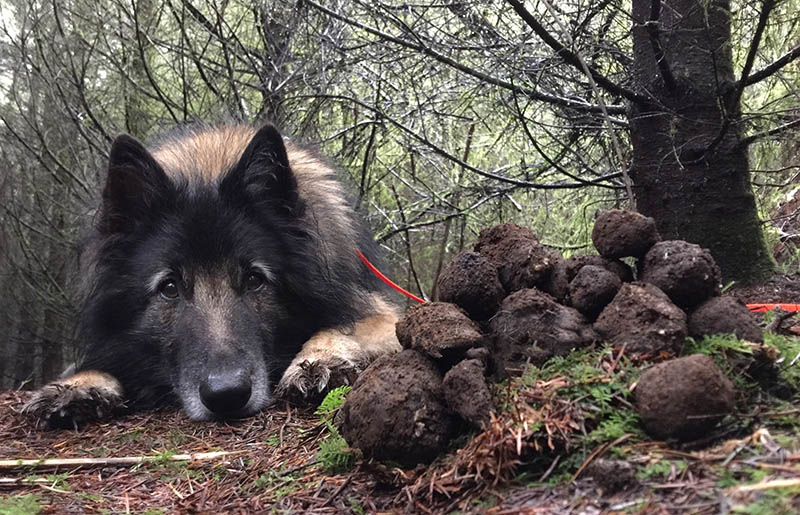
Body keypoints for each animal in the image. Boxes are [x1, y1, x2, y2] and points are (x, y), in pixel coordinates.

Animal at [24, 124, 400, 428]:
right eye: (170, 287)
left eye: (254, 280)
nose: (227, 395)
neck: (206, 170)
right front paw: (78, 384)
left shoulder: (377, 310)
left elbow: (340, 327)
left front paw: (319, 358)